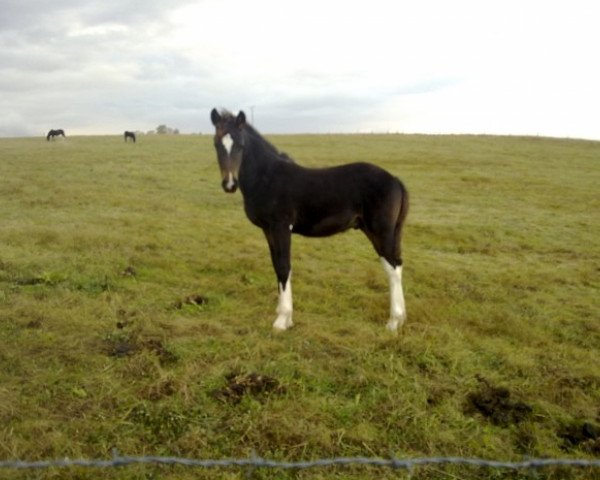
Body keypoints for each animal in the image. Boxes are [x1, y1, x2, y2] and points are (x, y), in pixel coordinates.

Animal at [210, 109, 408, 332]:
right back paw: (400, 319)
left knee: (393, 268)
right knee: (397, 264)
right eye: (216, 144)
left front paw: (282, 320)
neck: (267, 177)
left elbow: (284, 266)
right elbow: (277, 266)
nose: (230, 184)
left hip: (380, 231)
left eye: (241, 144)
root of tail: (395, 180)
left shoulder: (281, 227)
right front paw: (283, 315)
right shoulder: (268, 230)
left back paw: (393, 322)